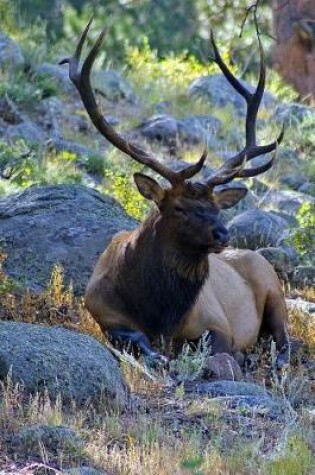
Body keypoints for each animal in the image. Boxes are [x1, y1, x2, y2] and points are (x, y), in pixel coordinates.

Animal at [60, 20, 290, 364]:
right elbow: (136, 340)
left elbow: (217, 348)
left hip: (275, 290)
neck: (161, 315)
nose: (223, 234)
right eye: (179, 208)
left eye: (217, 208)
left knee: (286, 340)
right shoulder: (103, 313)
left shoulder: (217, 322)